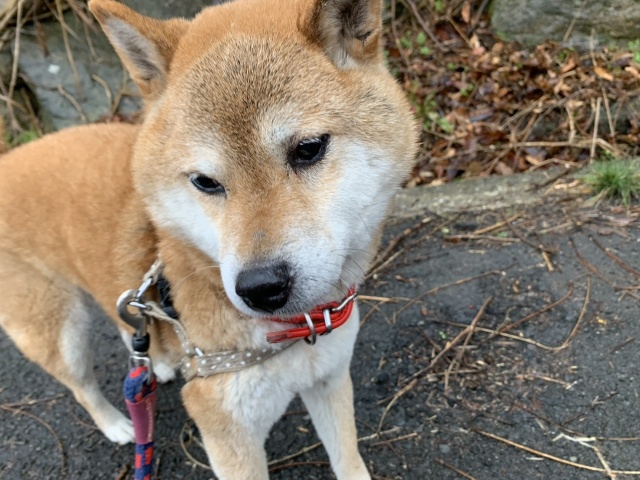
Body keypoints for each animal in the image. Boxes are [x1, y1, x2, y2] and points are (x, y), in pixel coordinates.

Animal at [0, 0, 418, 478]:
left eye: (309, 148)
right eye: (205, 181)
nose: (261, 287)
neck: (294, 332)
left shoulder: (329, 377)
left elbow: (347, 459)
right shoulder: (227, 433)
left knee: (124, 317)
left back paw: (156, 360)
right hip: (57, 331)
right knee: (81, 383)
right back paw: (120, 424)